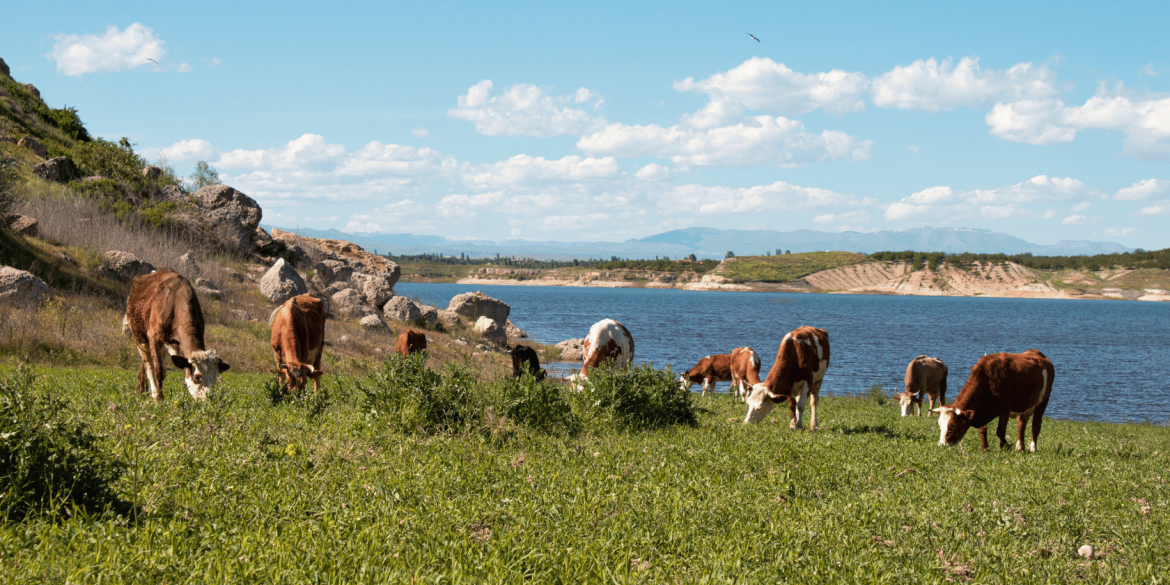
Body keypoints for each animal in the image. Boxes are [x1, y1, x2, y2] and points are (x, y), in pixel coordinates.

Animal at [125, 269, 230, 402]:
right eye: (197, 377)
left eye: (216, 377)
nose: (208, 400)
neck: (175, 303)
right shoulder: (155, 339)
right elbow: (159, 371)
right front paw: (159, 398)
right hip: (140, 338)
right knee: (148, 363)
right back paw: (150, 392)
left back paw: (143, 390)